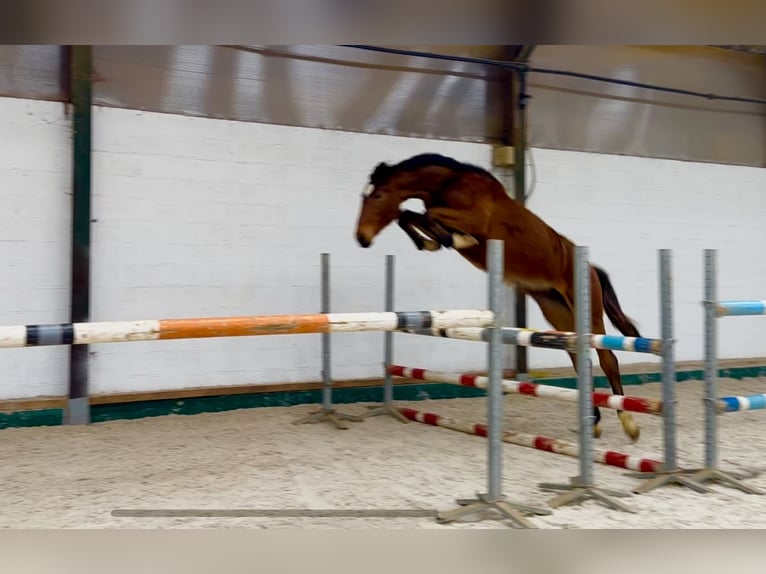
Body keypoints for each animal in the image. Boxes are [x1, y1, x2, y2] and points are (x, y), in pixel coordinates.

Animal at [353, 152, 643, 442]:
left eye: (377, 195)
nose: (361, 238)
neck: (449, 184)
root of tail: (591, 268)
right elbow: (409, 215)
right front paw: (434, 241)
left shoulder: (474, 219)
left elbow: (426, 215)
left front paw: (454, 239)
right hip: (558, 312)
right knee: (579, 358)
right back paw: (594, 422)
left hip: (588, 310)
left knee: (608, 359)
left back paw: (629, 423)